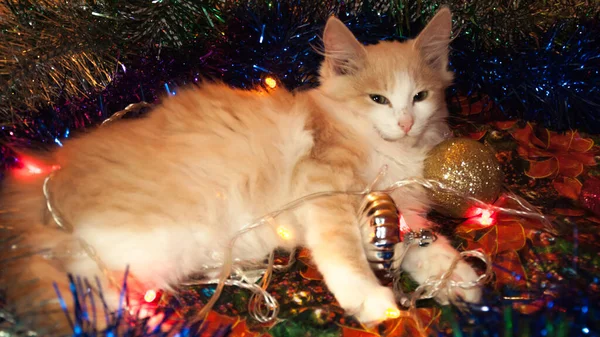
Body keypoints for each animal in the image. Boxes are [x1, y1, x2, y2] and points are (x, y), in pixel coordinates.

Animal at [0, 7, 478, 334]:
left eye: (419, 96)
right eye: (378, 99)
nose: (406, 122)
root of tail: (41, 178)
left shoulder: (401, 205)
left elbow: (418, 241)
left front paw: (457, 275)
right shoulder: (320, 183)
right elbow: (341, 247)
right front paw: (367, 295)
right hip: (131, 239)